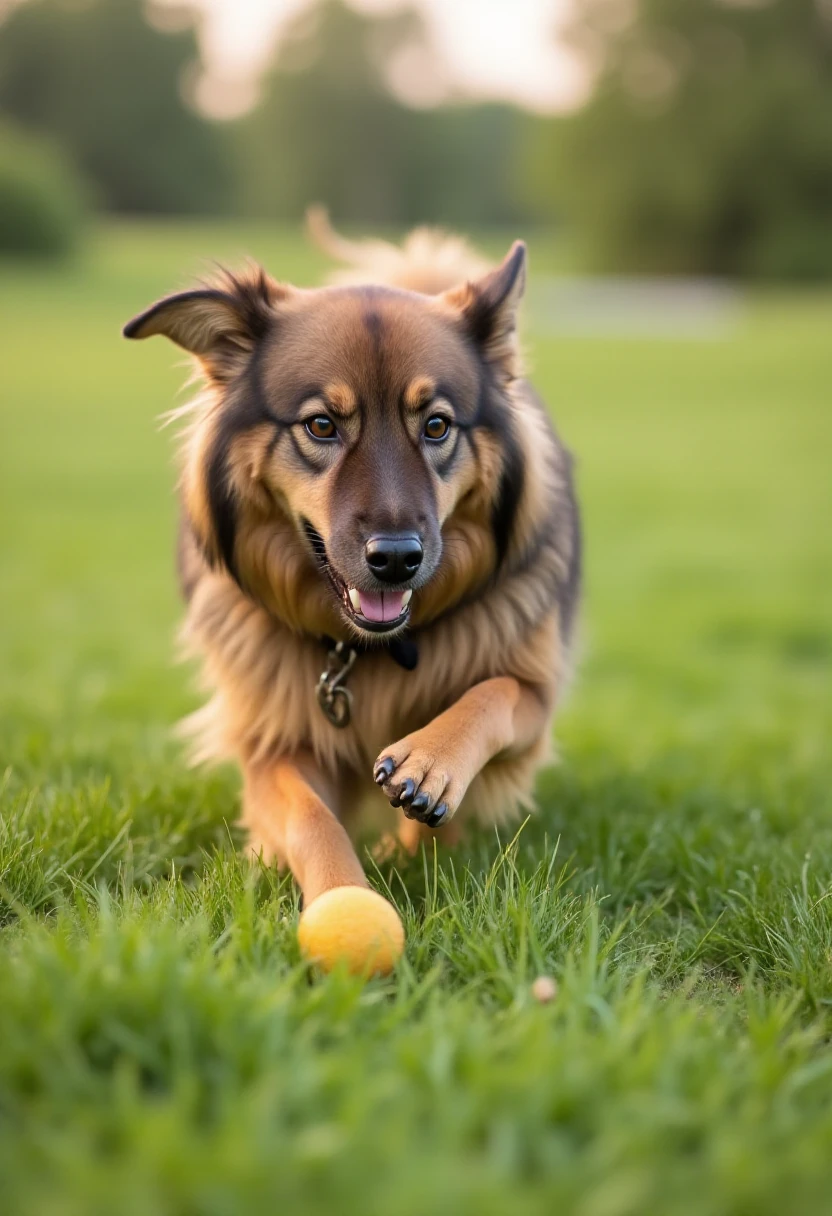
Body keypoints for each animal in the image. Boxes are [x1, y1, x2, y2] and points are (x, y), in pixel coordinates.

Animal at [121, 211, 578, 914]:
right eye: (321, 425)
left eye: (437, 425)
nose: (397, 560)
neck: (366, 650)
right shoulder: (275, 734)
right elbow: (309, 814)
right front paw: (344, 895)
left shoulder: (533, 695)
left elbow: (492, 693)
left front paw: (429, 764)